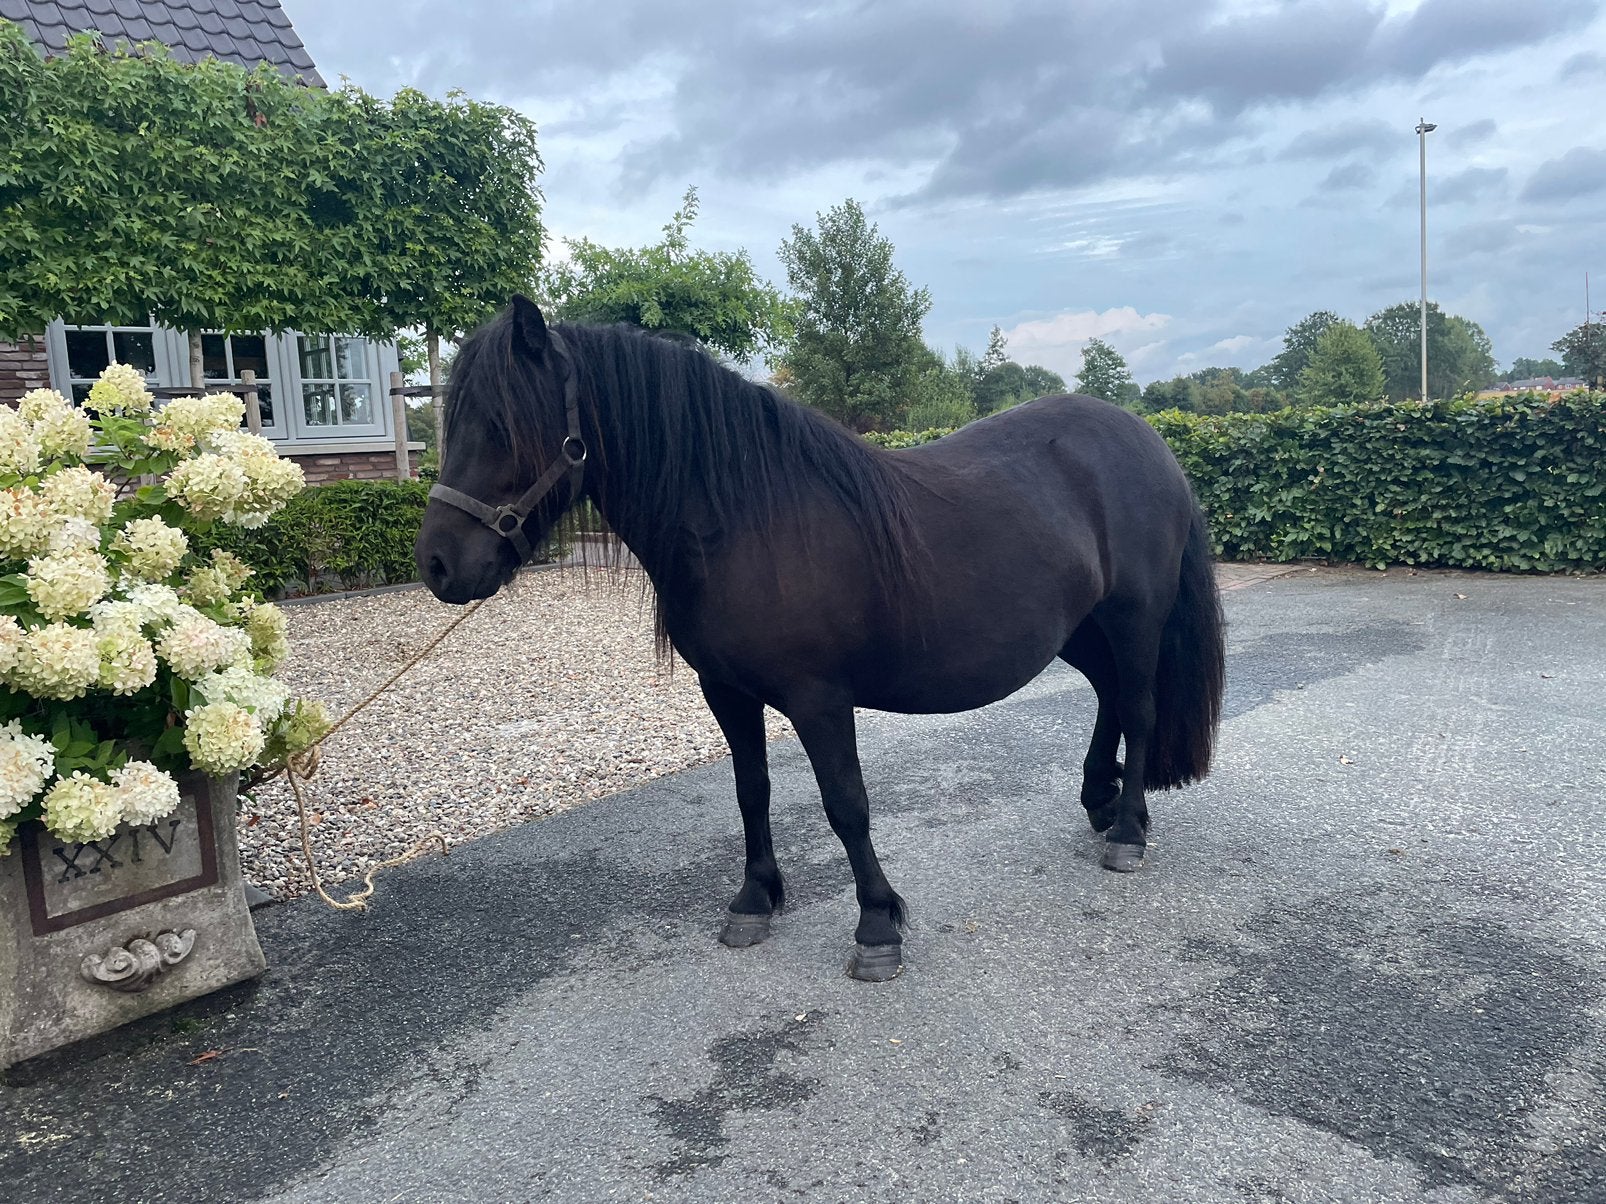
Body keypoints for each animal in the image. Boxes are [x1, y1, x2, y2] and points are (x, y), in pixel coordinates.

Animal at [415, 296, 1226, 982]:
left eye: (502, 426)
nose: (438, 564)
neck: (744, 518)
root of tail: (1147, 440)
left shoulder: (820, 700)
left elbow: (846, 804)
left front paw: (877, 926)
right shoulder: (726, 691)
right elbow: (752, 790)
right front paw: (754, 901)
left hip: (1134, 618)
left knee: (1140, 708)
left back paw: (1126, 833)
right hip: (1081, 629)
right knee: (1111, 698)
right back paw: (1105, 802)